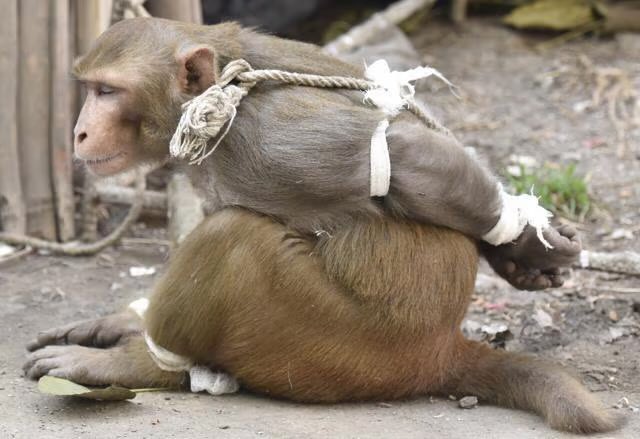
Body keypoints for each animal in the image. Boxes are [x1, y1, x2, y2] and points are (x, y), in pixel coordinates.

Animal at [23, 18, 620, 433]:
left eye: (108, 92)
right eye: (89, 88)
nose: (78, 132)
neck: (225, 89)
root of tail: (440, 348)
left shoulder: (271, 137)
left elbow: (398, 152)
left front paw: (526, 245)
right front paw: (522, 252)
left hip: (336, 349)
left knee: (232, 237)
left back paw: (142, 366)